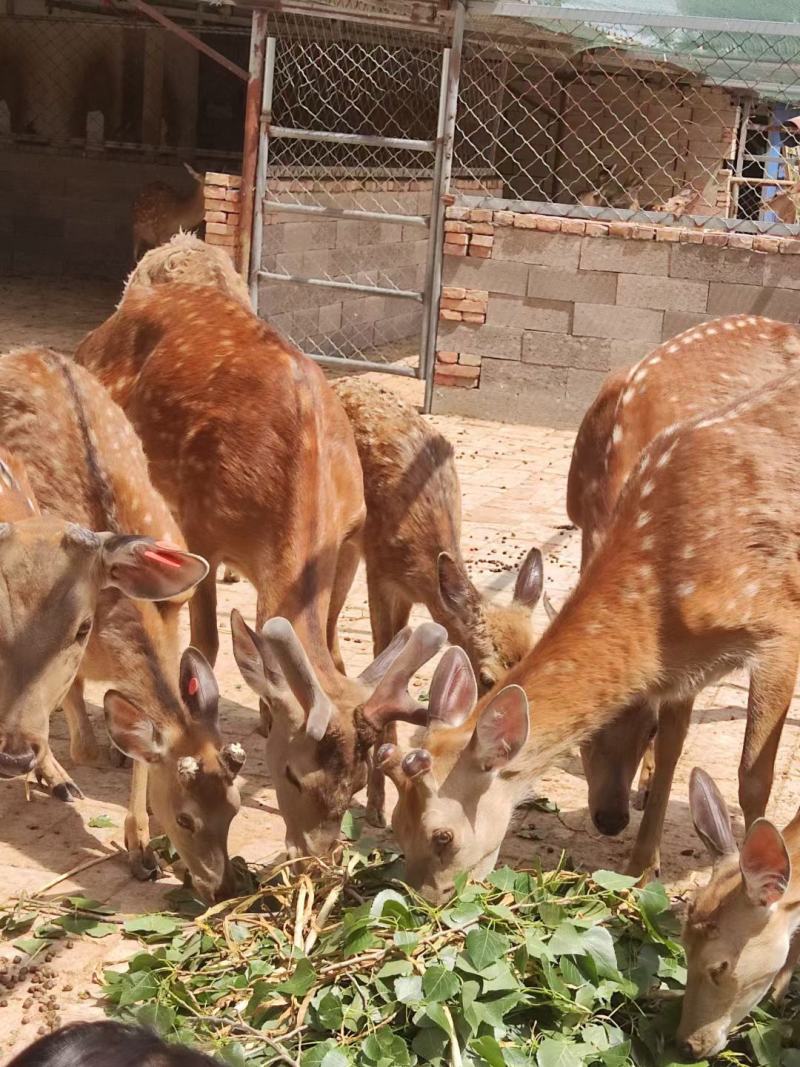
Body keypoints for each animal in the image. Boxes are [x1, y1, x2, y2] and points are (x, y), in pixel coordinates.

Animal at [0, 348, 245, 901]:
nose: (218, 887)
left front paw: (141, 849)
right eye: (186, 818)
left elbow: (139, 747)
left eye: (235, 808)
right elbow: (87, 740)